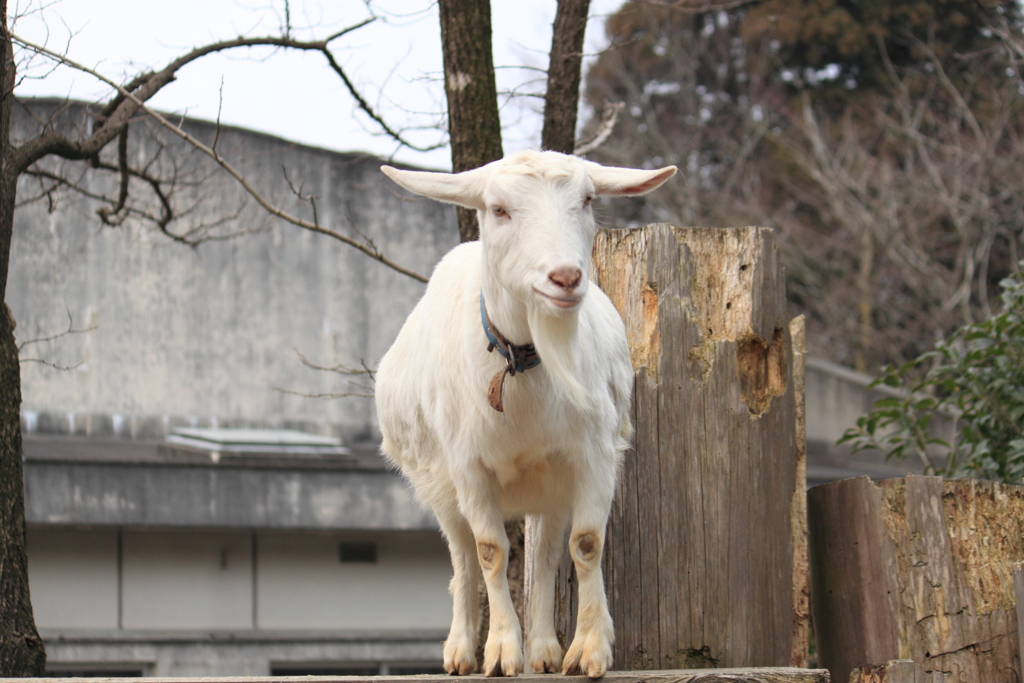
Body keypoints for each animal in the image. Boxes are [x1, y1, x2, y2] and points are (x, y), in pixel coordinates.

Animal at [374, 150, 671, 679]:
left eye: (588, 199)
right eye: (498, 209)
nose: (566, 278)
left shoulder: (592, 454)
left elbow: (586, 543)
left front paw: (589, 650)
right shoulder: (468, 467)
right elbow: (491, 553)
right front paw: (500, 652)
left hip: (549, 487)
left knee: (547, 555)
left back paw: (546, 650)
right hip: (438, 486)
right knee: (462, 557)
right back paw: (460, 651)